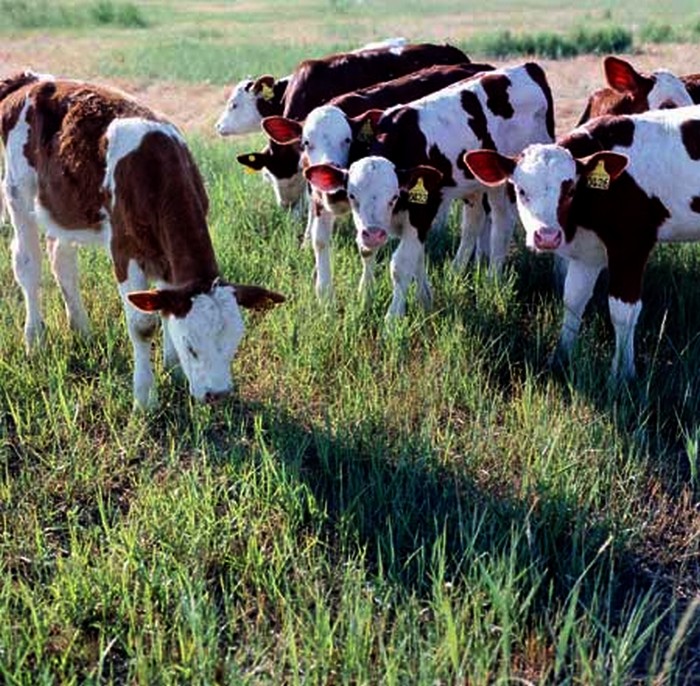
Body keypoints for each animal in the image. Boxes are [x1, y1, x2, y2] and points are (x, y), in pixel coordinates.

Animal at [1, 72, 284, 412]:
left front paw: (174, 372)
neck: (156, 170)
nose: (218, 395)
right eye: (192, 346)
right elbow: (142, 324)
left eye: (234, 342)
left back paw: (81, 330)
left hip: (62, 205)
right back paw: (35, 340)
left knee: (62, 260)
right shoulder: (124, 249)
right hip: (18, 191)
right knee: (27, 265)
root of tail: (32, 80)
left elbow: (165, 304)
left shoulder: (166, 258)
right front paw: (145, 397)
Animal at [304, 62, 552, 320]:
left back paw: (493, 280)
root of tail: (528, 66)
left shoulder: (422, 209)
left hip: (504, 183)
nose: (373, 234)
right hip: (473, 185)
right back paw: (456, 271)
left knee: (502, 225)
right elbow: (376, 252)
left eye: (393, 197)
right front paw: (371, 296)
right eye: (353, 196)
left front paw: (393, 317)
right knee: (473, 222)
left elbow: (401, 264)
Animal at [464, 106, 700, 382]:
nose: (546, 236)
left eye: (569, 190)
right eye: (521, 191)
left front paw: (621, 374)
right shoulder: (587, 252)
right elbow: (573, 300)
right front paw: (560, 357)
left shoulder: (632, 246)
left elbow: (623, 311)